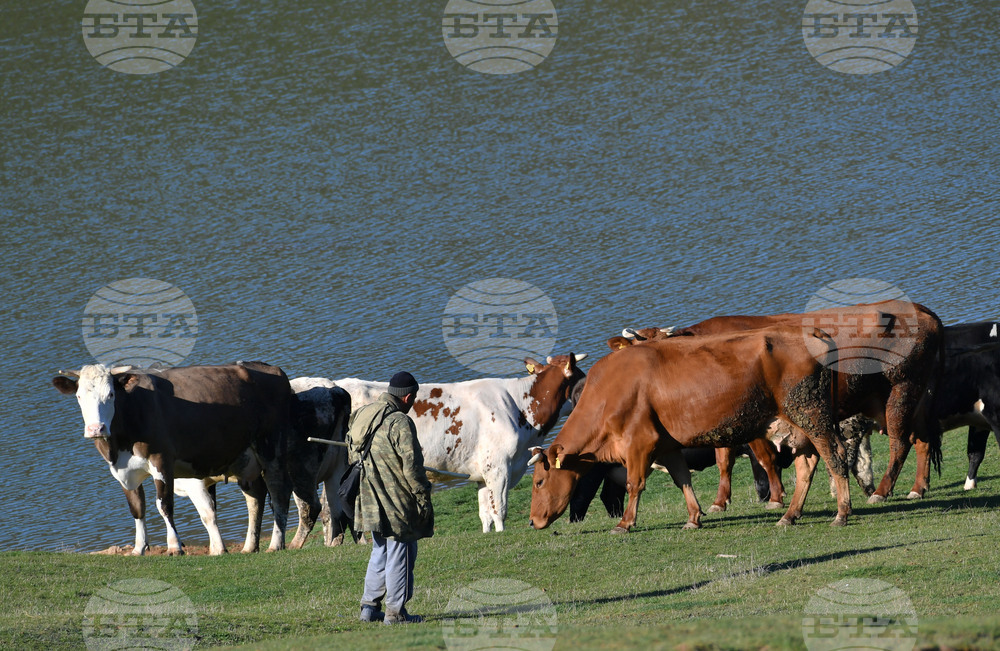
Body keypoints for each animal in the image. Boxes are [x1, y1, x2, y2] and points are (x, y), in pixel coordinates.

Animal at [52, 362, 321, 555]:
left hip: (271, 447)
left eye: (110, 395)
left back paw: (276, 544)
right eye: (79, 397)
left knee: (279, 492)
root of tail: (271, 369)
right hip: (245, 459)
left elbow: (164, 504)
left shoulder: (162, 460)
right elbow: (137, 508)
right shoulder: (123, 471)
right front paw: (139, 548)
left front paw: (174, 546)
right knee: (255, 498)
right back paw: (249, 547)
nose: (95, 429)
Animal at [529, 326, 854, 533]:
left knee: (835, 456)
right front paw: (694, 517)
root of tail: (811, 333)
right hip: (799, 425)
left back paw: (841, 513)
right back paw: (790, 515)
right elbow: (682, 479)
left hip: (811, 415)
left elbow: (635, 484)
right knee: (807, 465)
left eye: (539, 482)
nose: (532, 521)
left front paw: (624, 523)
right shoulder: (667, 445)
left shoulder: (639, 443)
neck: (609, 390)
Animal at [620, 299, 945, 502]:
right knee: (922, 439)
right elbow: (724, 460)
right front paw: (721, 501)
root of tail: (921, 310)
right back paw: (917, 488)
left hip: (902, 390)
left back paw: (881, 491)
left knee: (900, 442)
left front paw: (775, 498)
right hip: (911, 396)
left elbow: (765, 459)